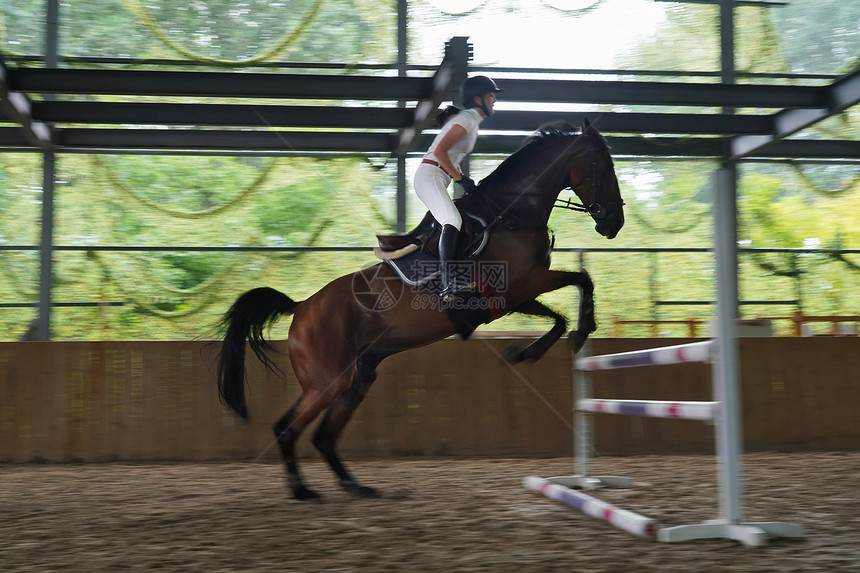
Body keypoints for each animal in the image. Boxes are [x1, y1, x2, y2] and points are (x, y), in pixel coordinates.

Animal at [218, 118, 624, 498]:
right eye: (604, 165)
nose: (615, 223)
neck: (512, 214)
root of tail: (301, 307)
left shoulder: (515, 297)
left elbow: (561, 313)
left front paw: (527, 352)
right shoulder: (523, 285)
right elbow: (581, 281)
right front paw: (576, 333)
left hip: (356, 378)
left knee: (323, 436)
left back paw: (354, 486)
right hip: (326, 382)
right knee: (288, 428)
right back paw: (302, 491)